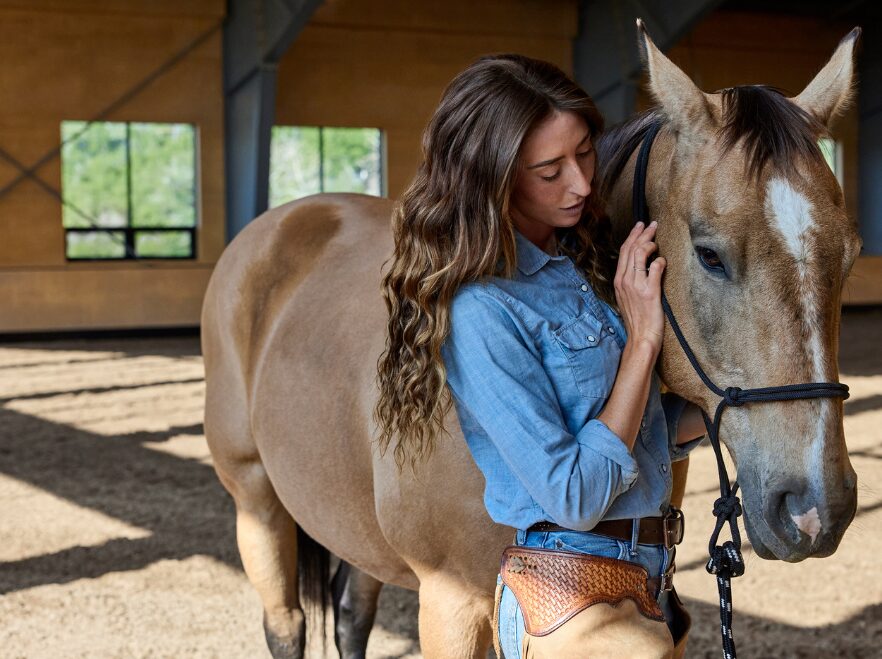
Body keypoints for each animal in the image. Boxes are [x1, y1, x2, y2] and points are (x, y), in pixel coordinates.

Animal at [201, 23, 861, 659]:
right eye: (710, 255)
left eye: (849, 256)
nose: (816, 509)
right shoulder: (450, 605)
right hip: (256, 505)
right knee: (286, 624)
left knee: (350, 619)